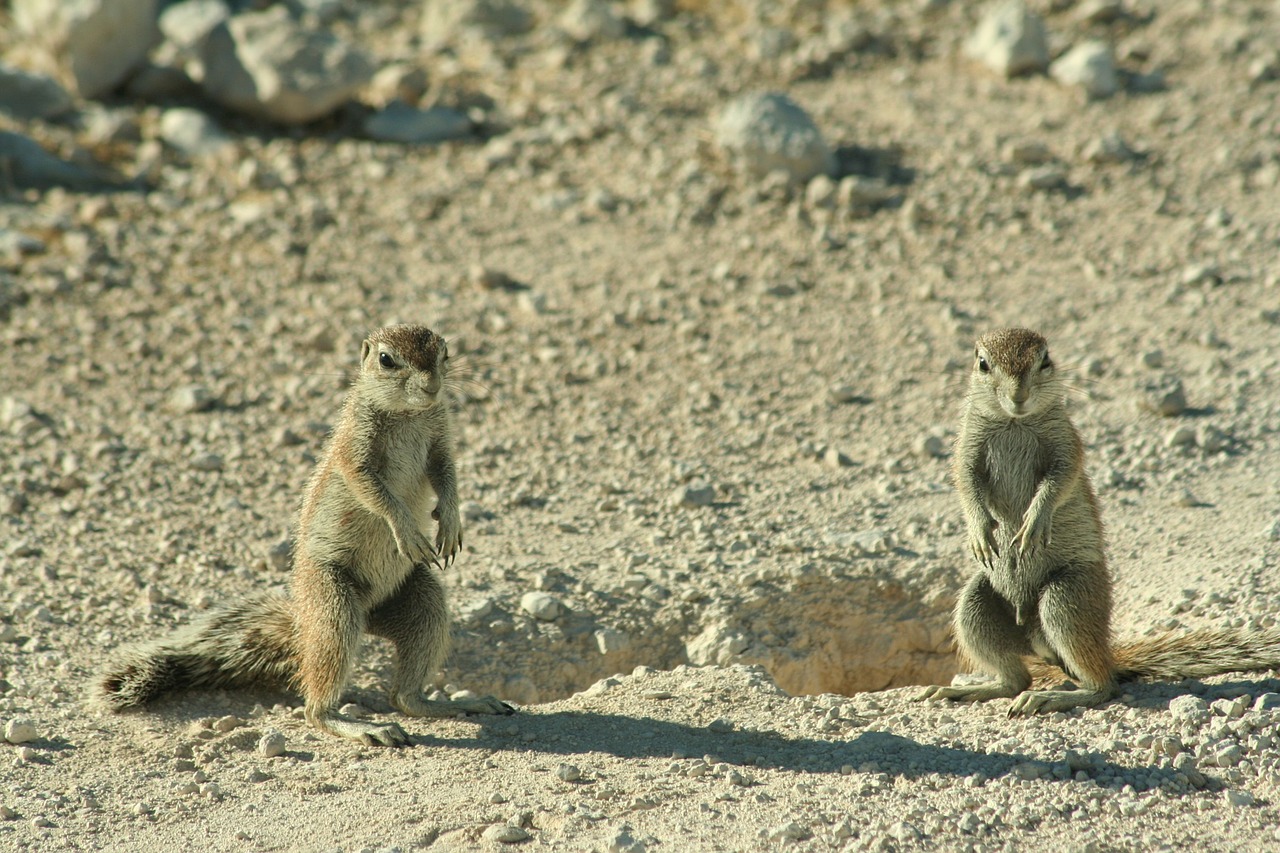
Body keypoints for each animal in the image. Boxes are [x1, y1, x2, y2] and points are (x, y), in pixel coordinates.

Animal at [96, 322, 514, 742]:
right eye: (386, 360)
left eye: (445, 352)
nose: (432, 385)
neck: (408, 414)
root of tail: (304, 623)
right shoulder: (354, 449)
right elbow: (374, 491)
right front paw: (408, 532)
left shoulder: (441, 438)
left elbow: (447, 476)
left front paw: (451, 523)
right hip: (334, 608)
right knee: (317, 709)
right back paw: (363, 727)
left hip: (422, 602)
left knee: (405, 697)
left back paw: (457, 704)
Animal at [926, 327, 1280, 712]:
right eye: (983, 364)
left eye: (1045, 360)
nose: (1019, 396)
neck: (1014, 422)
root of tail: (1038, 642)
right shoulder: (967, 447)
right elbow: (966, 484)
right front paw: (978, 531)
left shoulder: (1066, 444)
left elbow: (1059, 481)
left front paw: (1034, 521)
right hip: (975, 606)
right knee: (1015, 678)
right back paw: (968, 690)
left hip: (1066, 598)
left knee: (1101, 685)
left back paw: (1050, 696)